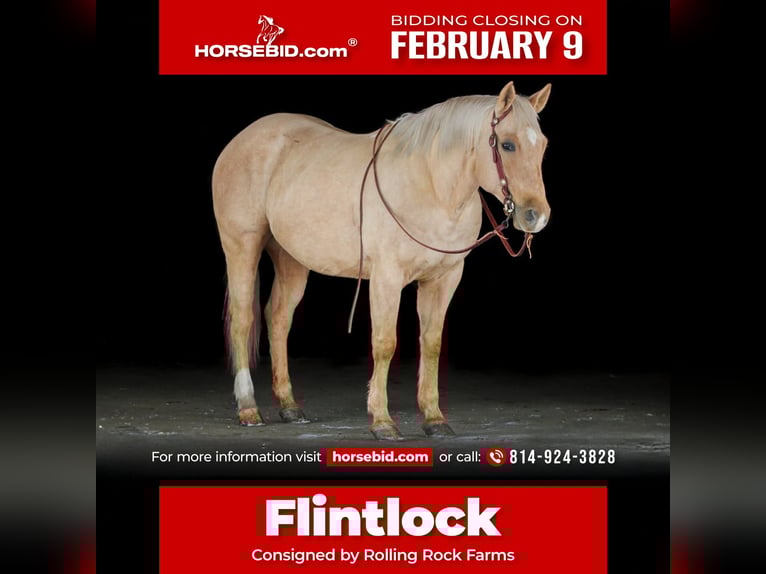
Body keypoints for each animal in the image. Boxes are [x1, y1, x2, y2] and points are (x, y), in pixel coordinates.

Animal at [212, 81, 552, 440]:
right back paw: (248, 408)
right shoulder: (386, 278)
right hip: (241, 247)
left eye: (542, 145)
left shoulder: (444, 279)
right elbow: (385, 343)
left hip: (291, 260)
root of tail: (241, 139)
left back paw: (289, 406)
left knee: (278, 319)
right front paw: (382, 420)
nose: (537, 216)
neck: (431, 186)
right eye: (507, 144)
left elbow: (431, 343)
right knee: (243, 320)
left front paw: (434, 418)